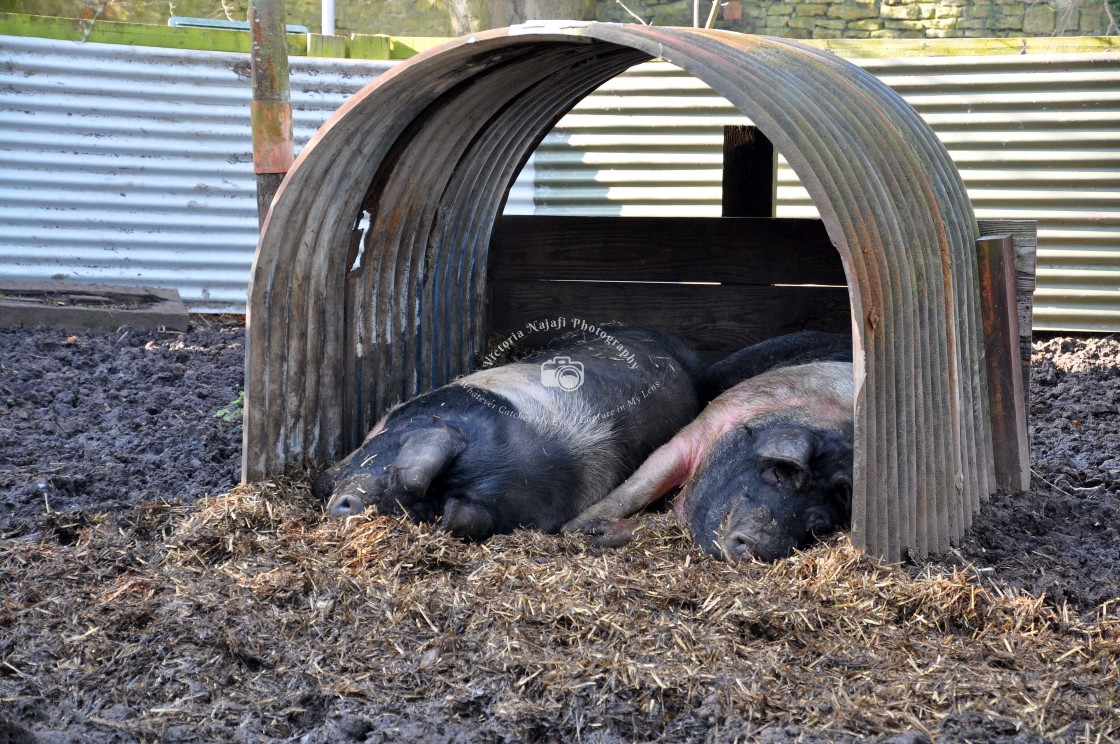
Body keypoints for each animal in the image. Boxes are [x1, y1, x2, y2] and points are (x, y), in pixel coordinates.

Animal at [564, 340, 851, 560]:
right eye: (779, 474)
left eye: (818, 527)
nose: (760, 547)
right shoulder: (708, 423)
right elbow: (641, 485)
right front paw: (575, 528)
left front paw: (599, 533)